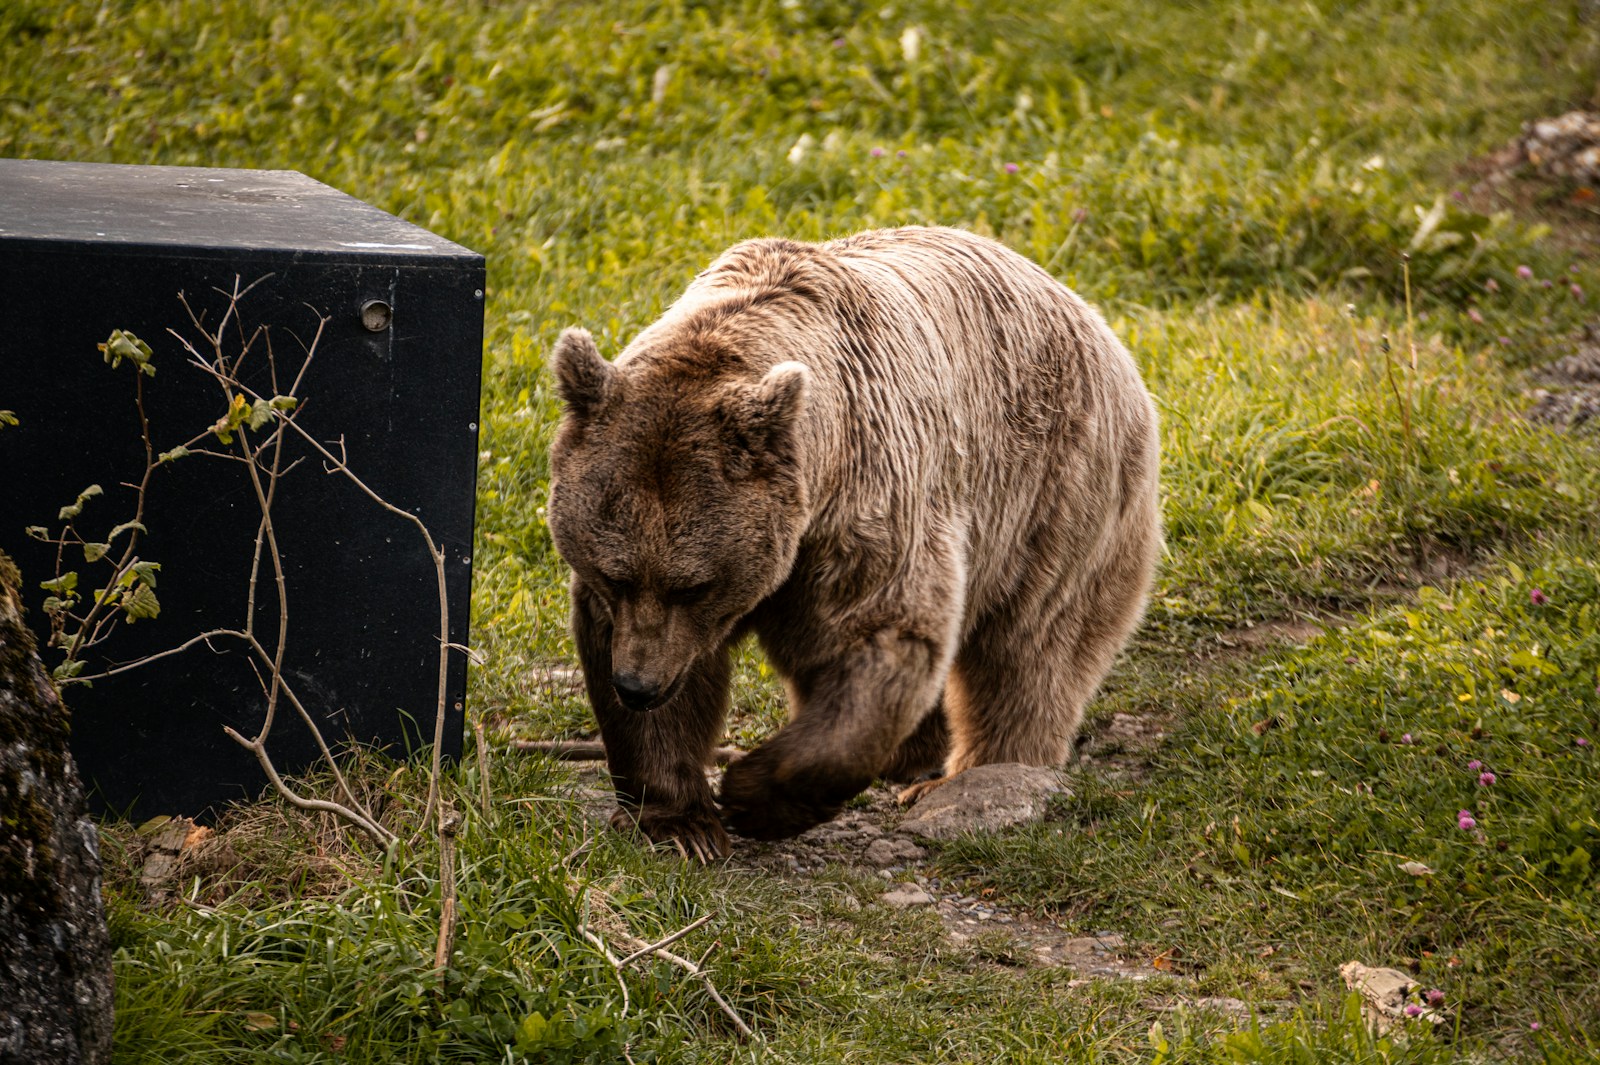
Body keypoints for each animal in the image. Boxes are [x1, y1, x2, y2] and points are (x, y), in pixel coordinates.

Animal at [545, 226, 1160, 861]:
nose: (638, 686)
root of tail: (1086, 308)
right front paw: (682, 823)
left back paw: (979, 772)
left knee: (1030, 650)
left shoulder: (865, 507)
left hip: (1054, 493)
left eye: (694, 585)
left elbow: (881, 634)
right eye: (614, 574)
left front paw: (752, 795)